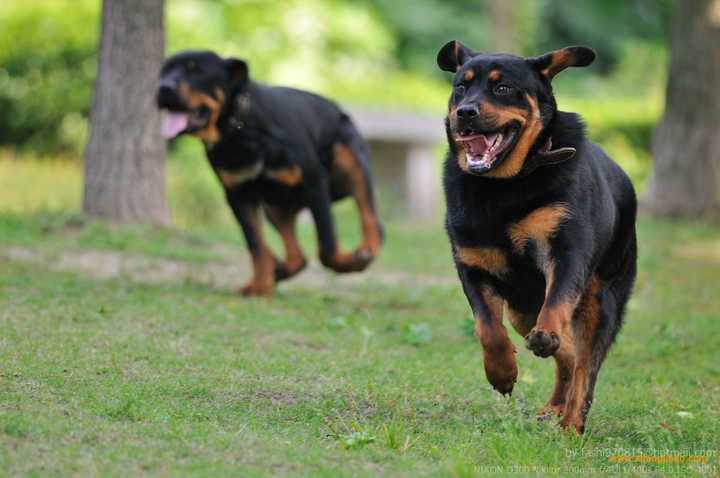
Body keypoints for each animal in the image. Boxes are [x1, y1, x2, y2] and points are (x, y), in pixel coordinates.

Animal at [157, 53, 382, 298]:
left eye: (195, 71)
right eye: (164, 72)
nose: (163, 87)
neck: (239, 129)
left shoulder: (314, 183)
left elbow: (327, 244)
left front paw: (348, 264)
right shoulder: (238, 196)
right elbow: (255, 245)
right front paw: (260, 286)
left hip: (351, 163)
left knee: (371, 218)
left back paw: (366, 249)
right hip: (275, 207)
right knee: (297, 257)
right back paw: (277, 271)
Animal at [436, 42, 640, 434]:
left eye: (502, 88)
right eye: (460, 88)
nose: (465, 112)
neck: (503, 186)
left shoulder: (566, 252)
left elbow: (556, 304)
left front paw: (543, 340)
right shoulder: (471, 264)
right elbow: (487, 327)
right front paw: (501, 372)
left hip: (601, 301)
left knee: (584, 366)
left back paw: (572, 422)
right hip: (521, 311)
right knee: (568, 355)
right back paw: (554, 406)